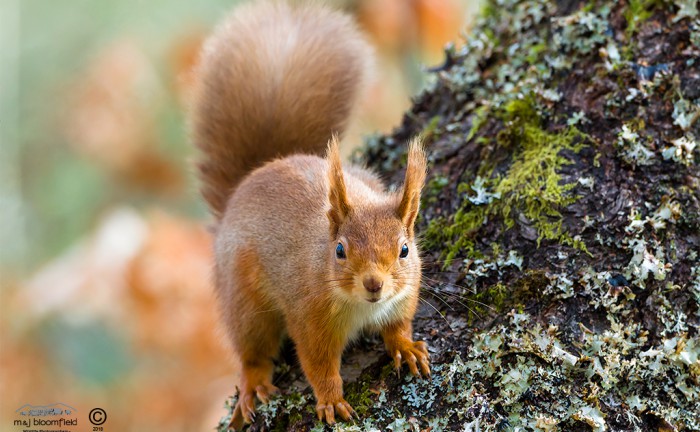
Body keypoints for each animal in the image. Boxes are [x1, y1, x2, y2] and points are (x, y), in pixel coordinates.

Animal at [191, 0, 430, 428]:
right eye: (340, 251)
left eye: (405, 250)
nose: (374, 284)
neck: (361, 307)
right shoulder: (309, 316)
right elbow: (318, 364)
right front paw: (331, 400)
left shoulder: (405, 297)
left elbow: (398, 325)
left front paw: (406, 346)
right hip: (245, 299)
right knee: (252, 349)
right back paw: (253, 384)